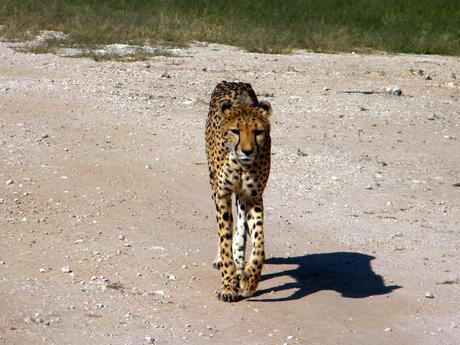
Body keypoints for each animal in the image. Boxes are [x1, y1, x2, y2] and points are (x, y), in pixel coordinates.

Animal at [204, 81, 272, 300]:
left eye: (258, 132)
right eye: (235, 131)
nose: (247, 151)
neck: (241, 164)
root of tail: (232, 81)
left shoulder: (254, 196)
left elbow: (259, 242)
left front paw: (249, 279)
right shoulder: (222, 194)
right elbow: (224, 237)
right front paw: (227, 286)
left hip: (242, 197)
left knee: (241, 226)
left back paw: (240, 264)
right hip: (214, 185)